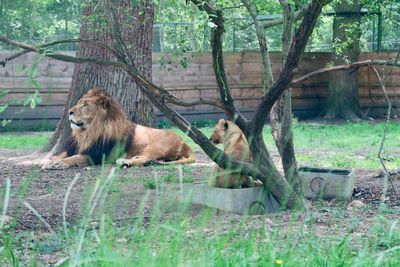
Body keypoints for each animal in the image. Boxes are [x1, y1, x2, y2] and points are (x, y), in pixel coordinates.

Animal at [42, 89, 195, 170]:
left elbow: (74, 158)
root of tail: (187, 145)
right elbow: (63, 154)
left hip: (157, 144)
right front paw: (49, 161)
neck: (89, 132)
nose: (69, 111)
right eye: (79, 103)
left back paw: (125, 162)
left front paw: (59, 163)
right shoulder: (76, 146)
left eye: (85, 105)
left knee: (146, 157)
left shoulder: (98, 155)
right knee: (148, 159)